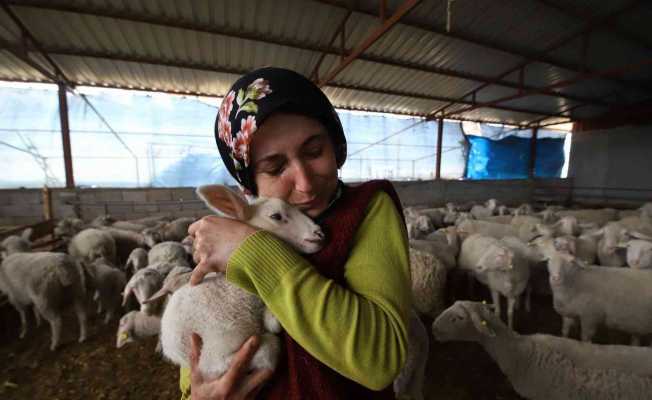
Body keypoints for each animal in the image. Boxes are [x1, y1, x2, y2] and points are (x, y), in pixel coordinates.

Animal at [159, 184, 326, 382]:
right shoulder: (213, 358)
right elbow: (271, 347)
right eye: (276, 216)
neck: (234, 292)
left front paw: (271, 318)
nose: (319, 234)